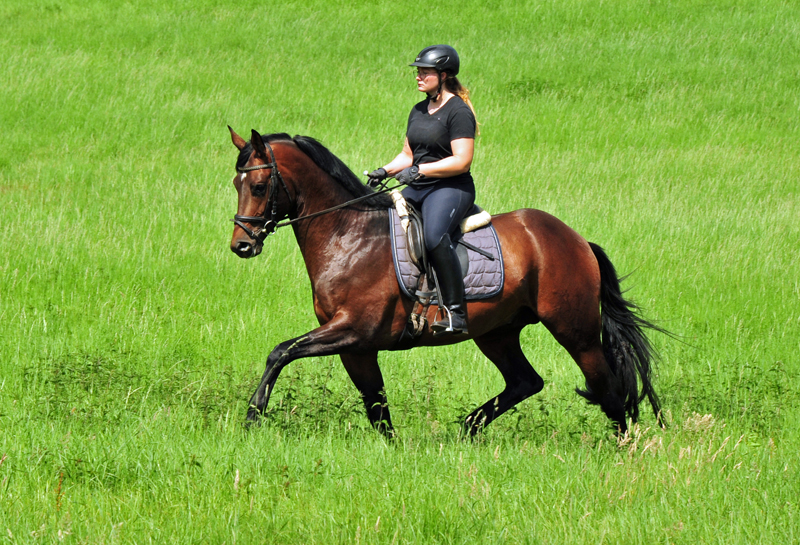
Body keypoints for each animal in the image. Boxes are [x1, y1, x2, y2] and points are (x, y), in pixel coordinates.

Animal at [227, 126, 664, 434]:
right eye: (237, 184)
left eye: (259, 186)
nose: (241, 245)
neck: (348, 235)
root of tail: (577, 240)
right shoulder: (357, 346)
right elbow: (377, 407)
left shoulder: (353, 329)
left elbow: (280, 352)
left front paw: (253, 416)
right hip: (497, 332)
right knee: (525, 382)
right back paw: (469, 427)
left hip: (575, 330)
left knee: (608, 388)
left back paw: (622, 448)